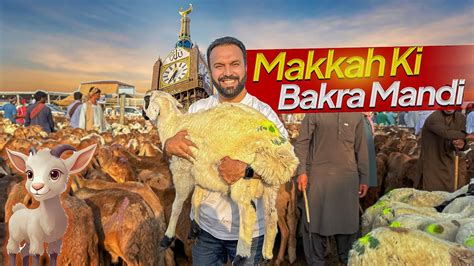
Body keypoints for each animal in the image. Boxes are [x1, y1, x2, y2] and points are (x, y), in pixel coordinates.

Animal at [144, 90, 300, 262]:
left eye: (146, 99)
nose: (142, 112)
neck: (173, 124)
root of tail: (281, 152)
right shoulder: (200, 172)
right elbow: (196, 198)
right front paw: (195, 227)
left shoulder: (182, 171)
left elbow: (177, 204)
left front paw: (167, 236)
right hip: (271, 183)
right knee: (271, 217)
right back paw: (267, 254)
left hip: (243, 179)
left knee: (248, 211)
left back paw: (241, 254)